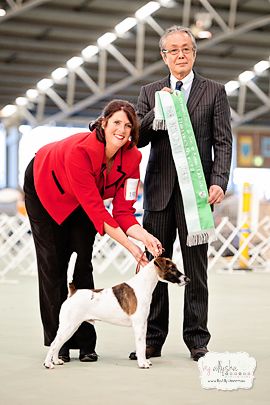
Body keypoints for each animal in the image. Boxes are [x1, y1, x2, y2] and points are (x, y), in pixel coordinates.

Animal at [43, 252, 190, 370]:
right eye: (172, 268)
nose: (187, 279)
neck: (143, 285)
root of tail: (73, 292)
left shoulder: (143, 325)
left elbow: (142, 345)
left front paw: (145, 360)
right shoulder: (139, 325)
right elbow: (140, 345)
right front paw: (142, 363)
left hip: (70, 327)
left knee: (58, 344)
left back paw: (56, 360)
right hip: (69, 326)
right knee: (54, 343)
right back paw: (48, 364)